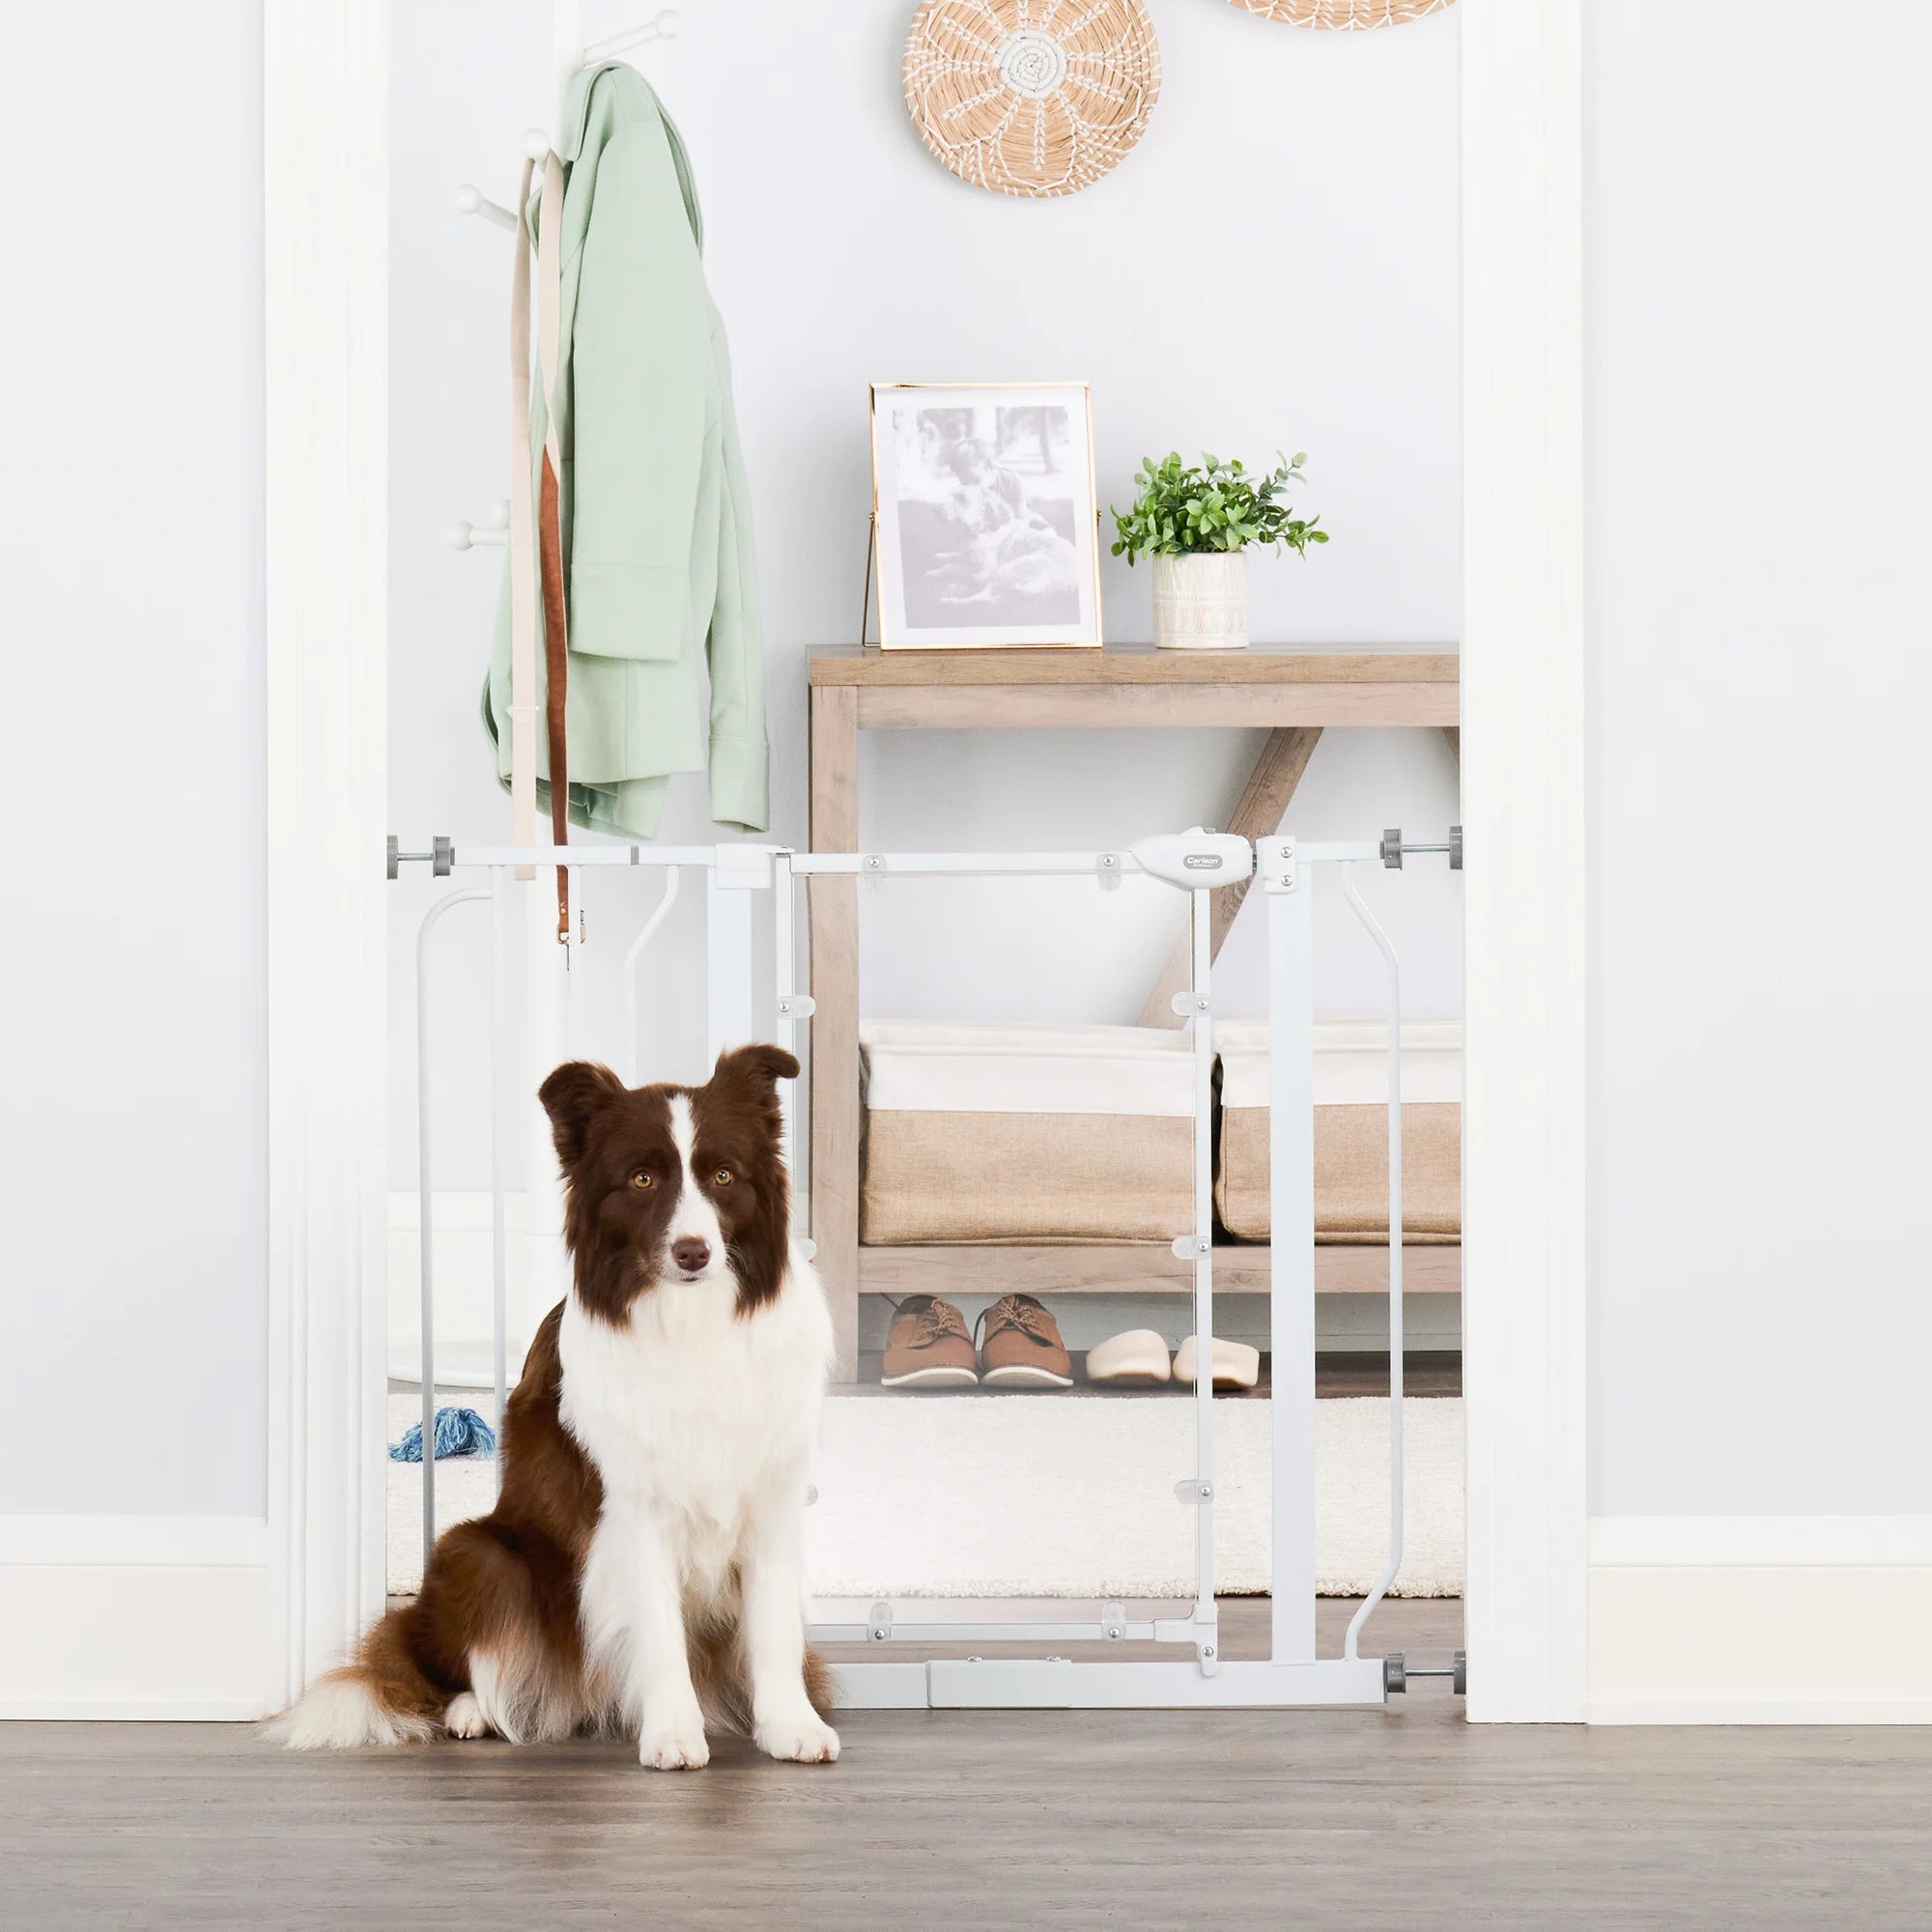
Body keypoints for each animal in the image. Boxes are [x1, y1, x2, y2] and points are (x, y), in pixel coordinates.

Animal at [272, 1043, 838, 1770]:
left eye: (723, 1175)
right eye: (643, 1179)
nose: (693, 1252)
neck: (692, 1323)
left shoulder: (769, 1496)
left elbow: (773, 1626)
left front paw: (789, 1725)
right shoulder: (632, 1508)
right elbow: (658, 1629)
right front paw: (673, 1734)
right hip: (476, 1551)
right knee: (449, 1662)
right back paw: (471, 1712)